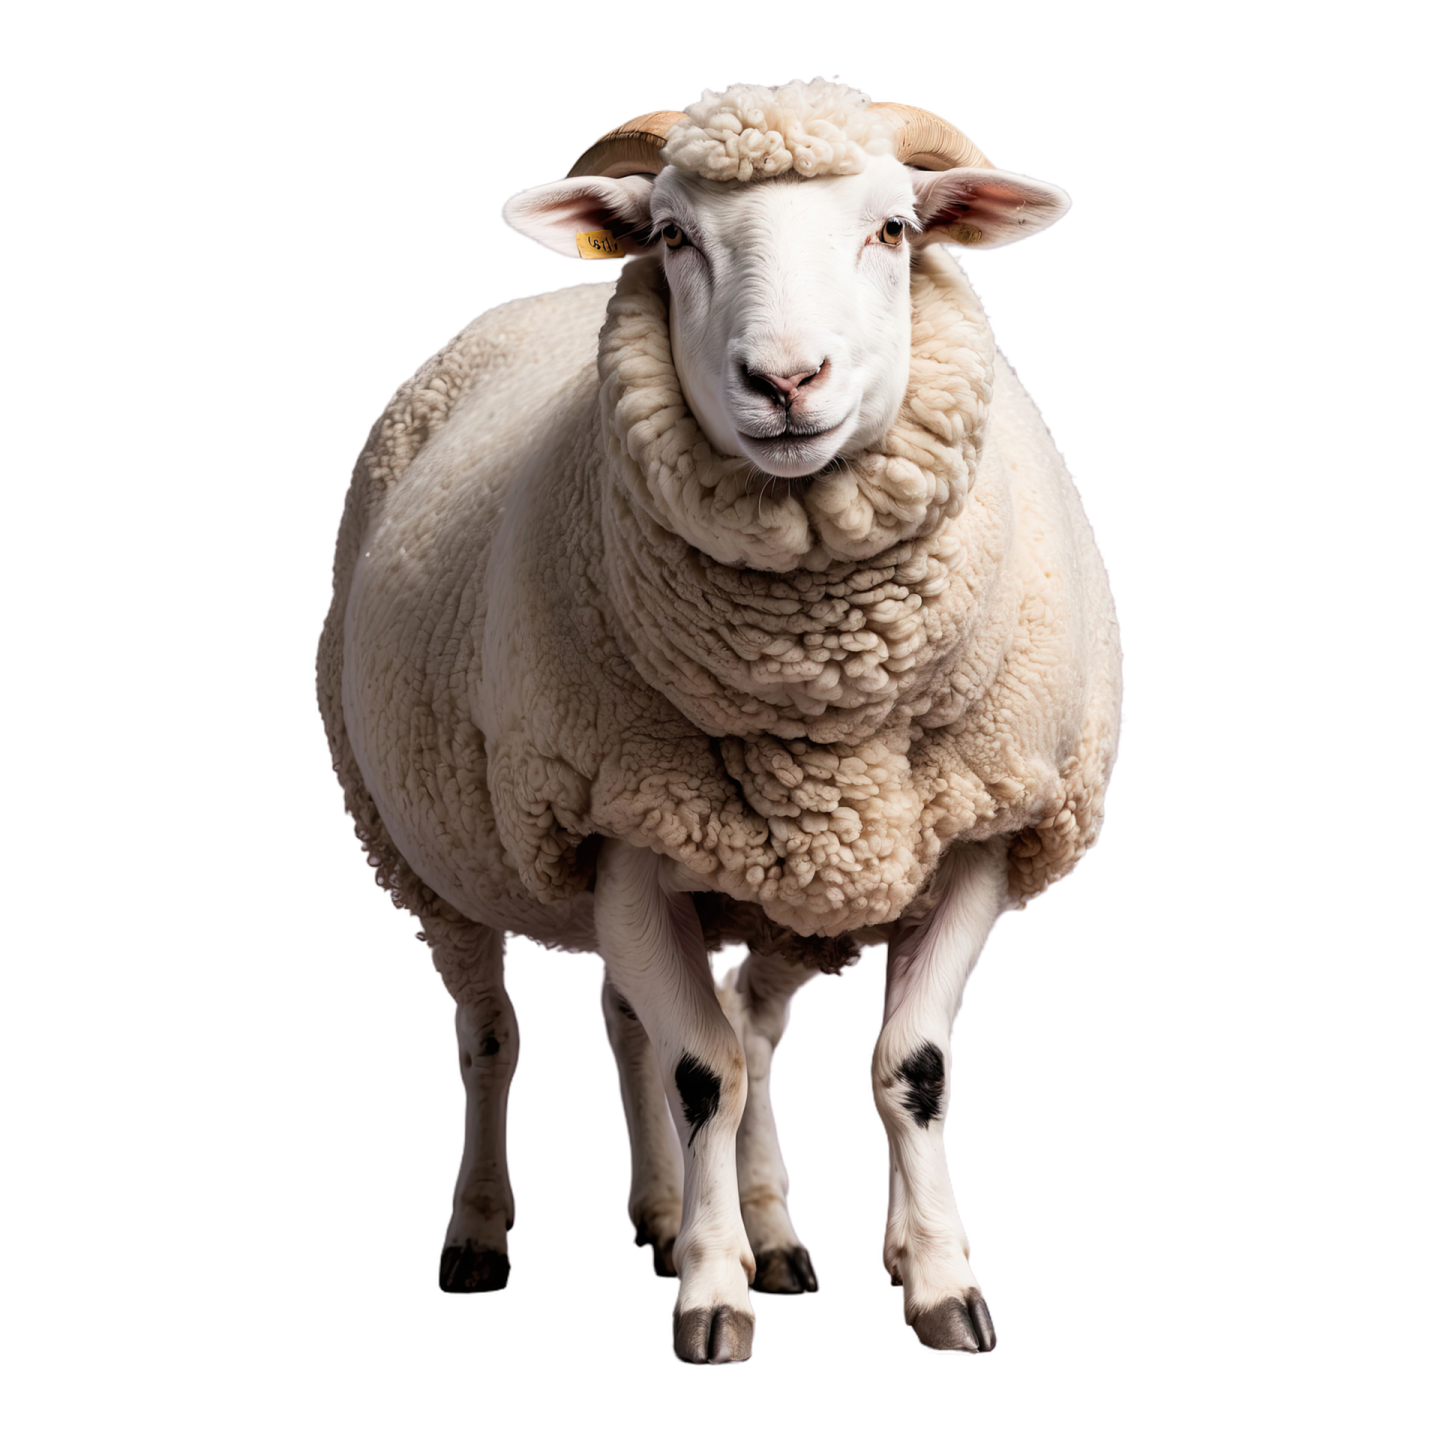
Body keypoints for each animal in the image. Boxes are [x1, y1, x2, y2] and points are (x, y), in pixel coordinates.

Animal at [313, 74, 1124, 1366]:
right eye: (673, 237)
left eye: (895, 228)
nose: (786, 381)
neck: (825, 688)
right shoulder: (613, 830)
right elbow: (704, 1075)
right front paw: (710, 1298)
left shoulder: (981, 833)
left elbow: (908, 1068)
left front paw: (940, 1286)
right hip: (427, 848)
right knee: (496, 1035)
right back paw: (485, 1235)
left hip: (758, 887)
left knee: (685, 1020)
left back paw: (726, 1223)